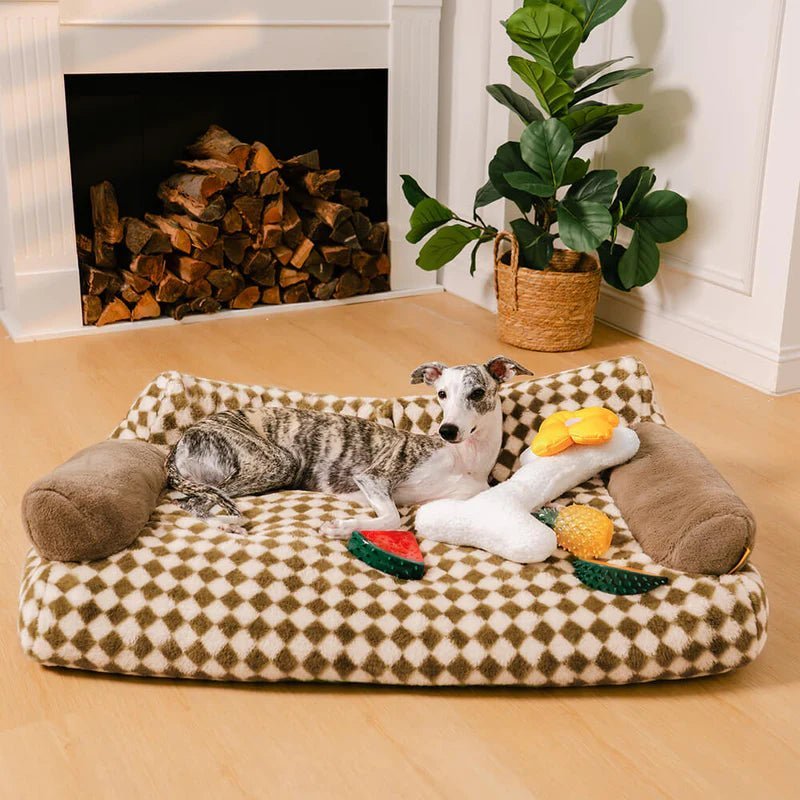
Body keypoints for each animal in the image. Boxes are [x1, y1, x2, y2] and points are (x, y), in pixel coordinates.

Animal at [166, 358, 532, 536]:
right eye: (441, 394)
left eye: (477, 393)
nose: (447, 430)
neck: (463, 459)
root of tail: (180, 441)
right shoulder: (372, 476)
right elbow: (392, 518)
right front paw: (341, 527)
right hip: (277, 462)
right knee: (192, 502)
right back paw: (227, 523)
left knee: (192, 501)